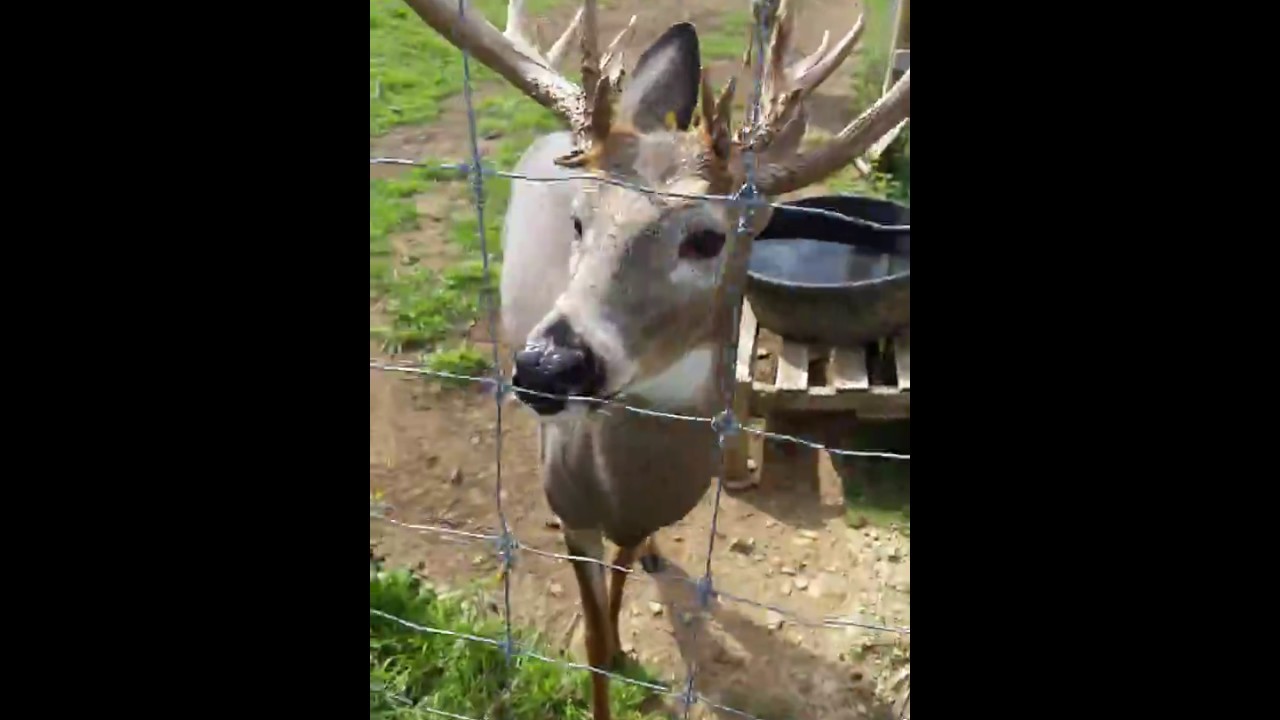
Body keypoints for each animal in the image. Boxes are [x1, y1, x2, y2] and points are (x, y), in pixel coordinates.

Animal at [401, 1, 910, 717]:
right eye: (578, 221)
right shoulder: (573, 509)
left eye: (707, 238)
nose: (548, 366)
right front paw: (609, 654)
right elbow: (589, 644)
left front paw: (627, 618)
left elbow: (623, 566)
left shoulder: (651, 510)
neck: (628, 482)